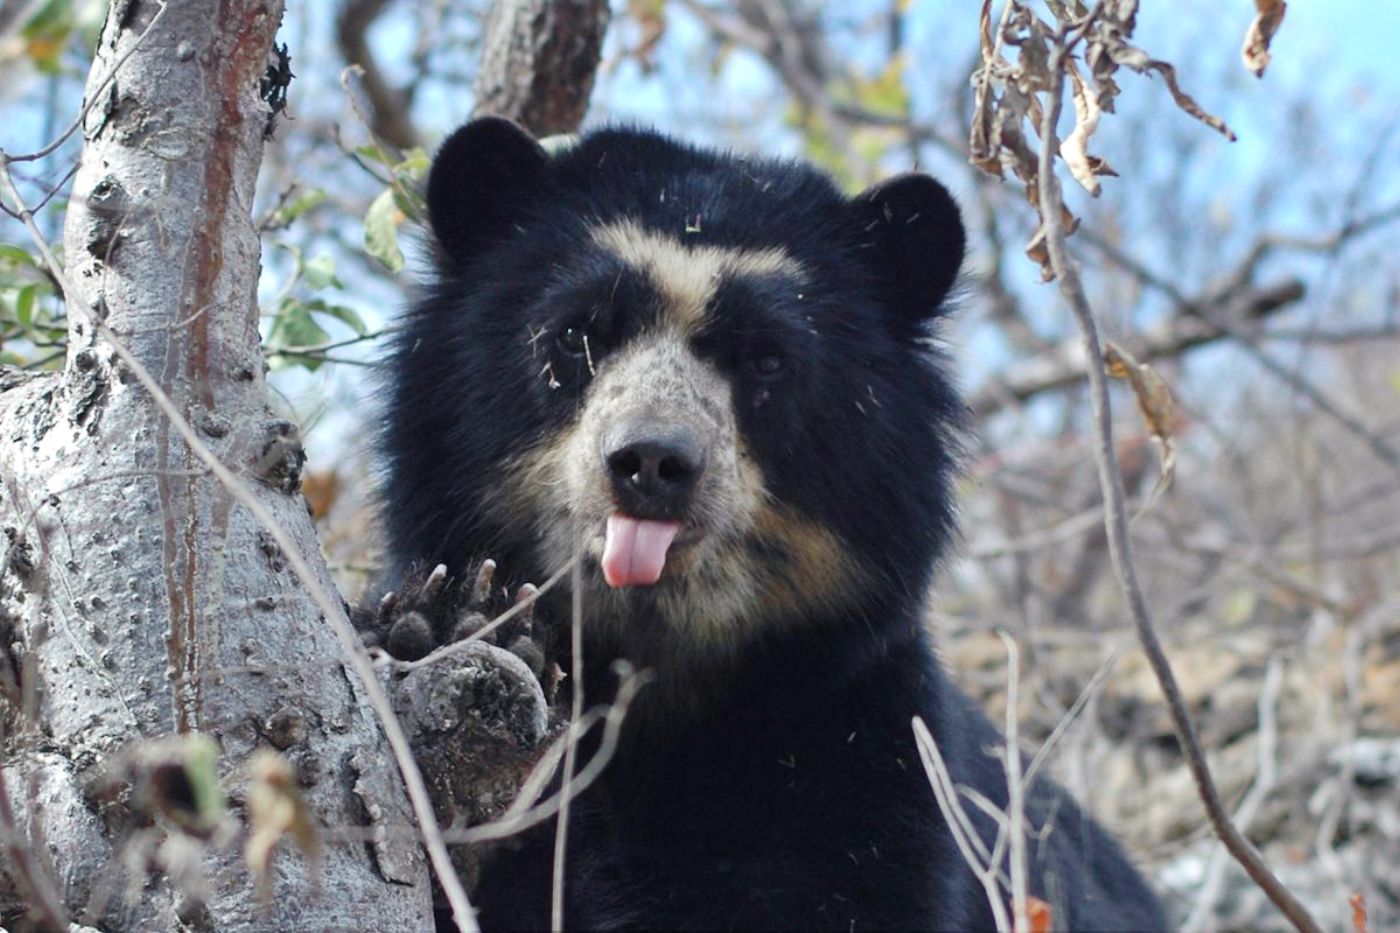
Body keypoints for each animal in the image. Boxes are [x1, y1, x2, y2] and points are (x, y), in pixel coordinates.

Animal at [378, 118, 1164, 930]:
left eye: (766, 360)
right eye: (573, 335)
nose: (651, 462)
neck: (665, 673)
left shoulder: (862, 749)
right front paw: (462, 623)